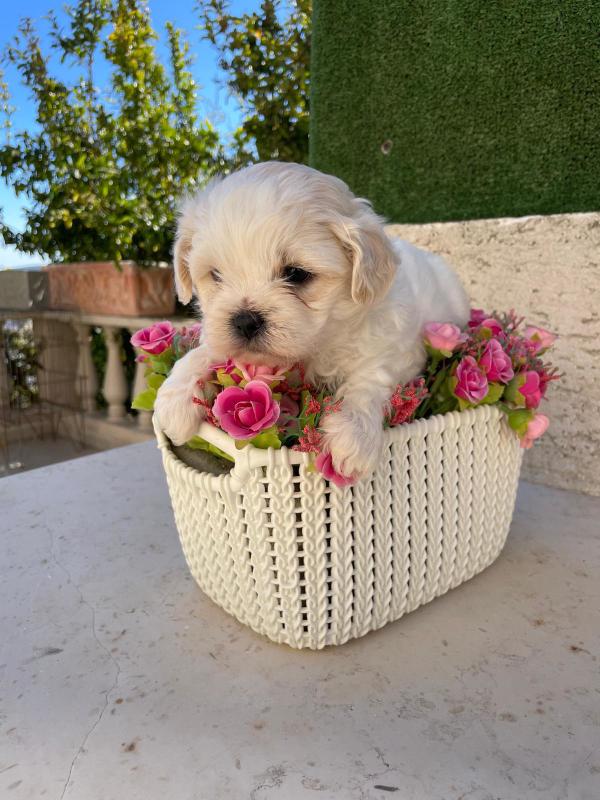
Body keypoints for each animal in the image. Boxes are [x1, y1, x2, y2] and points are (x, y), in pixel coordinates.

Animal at [155, 161, 469, 479]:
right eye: (216, 274)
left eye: (296, 274)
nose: (244, 321)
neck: (319, 340)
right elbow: (200, 354)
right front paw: (173, 401)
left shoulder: (399, 350)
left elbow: (371, 379)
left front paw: (352, 436)